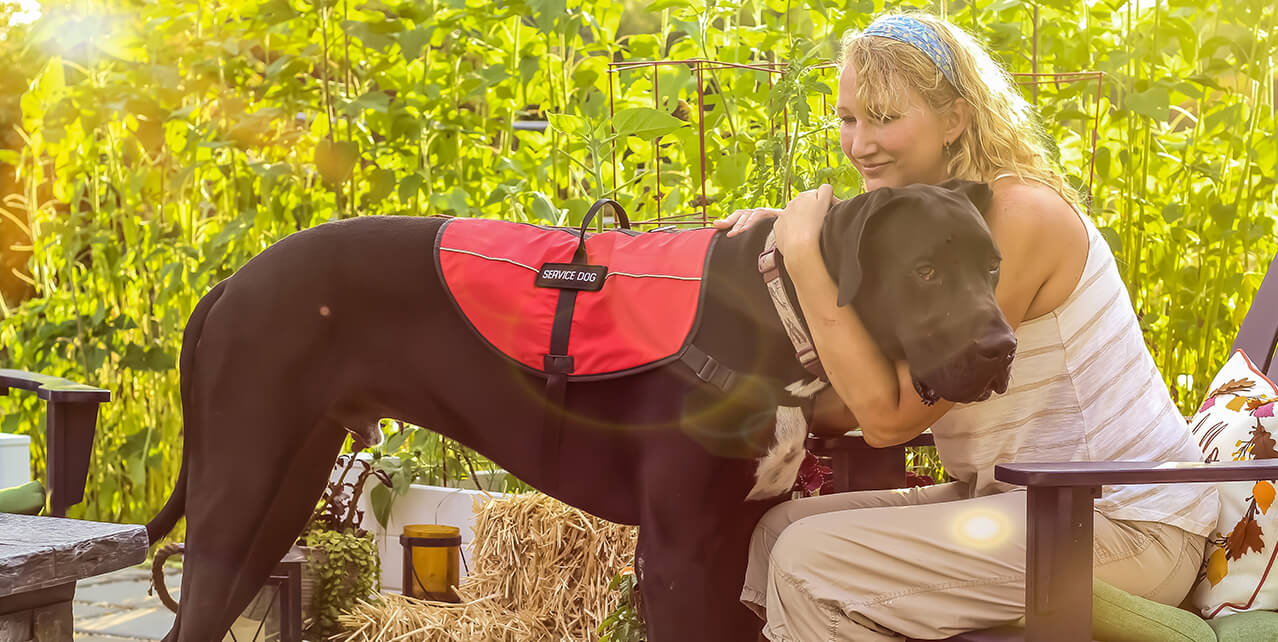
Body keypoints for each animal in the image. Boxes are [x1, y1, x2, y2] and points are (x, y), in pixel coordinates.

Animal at [145, 177, 1012, 639]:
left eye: (994, 267)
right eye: (926, 271)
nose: (1001, 346)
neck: (777, 306)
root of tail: (229, 285)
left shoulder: (734, 539)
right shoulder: (677, 552)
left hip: (284, 491)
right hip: (241, 485)